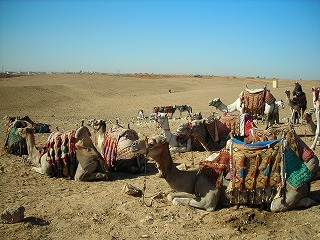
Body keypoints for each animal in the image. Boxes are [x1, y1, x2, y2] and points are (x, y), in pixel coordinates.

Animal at [131, 135, 318, 212]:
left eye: (152, 142)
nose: (133, 144)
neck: (195, 175)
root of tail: (306, 180)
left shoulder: (209, 198)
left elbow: (184, 201)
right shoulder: (195, 190)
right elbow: (172, 196)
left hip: (287, 193)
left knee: (280, 204)